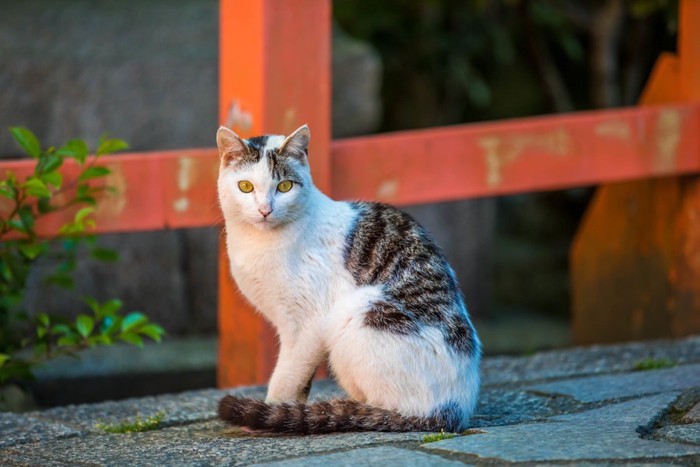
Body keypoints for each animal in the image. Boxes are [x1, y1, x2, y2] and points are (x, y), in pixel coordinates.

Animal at [217, 124, 482, 436]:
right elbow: (300, 381)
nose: (265, 210)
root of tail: (455, 410)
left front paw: (273, 411)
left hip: (354, 311)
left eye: (284, 187)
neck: (259, 243)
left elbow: (287, 375)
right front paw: (288, 410)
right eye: (246, 187)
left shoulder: (309, 325)